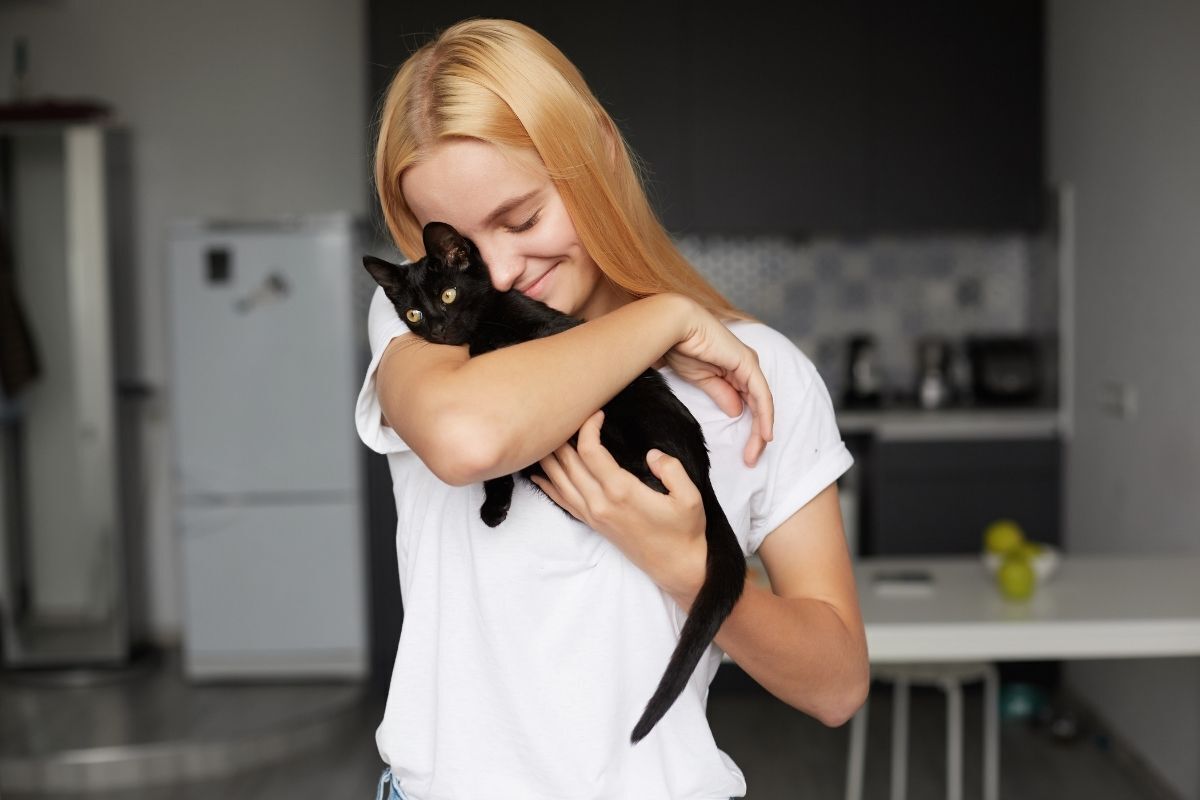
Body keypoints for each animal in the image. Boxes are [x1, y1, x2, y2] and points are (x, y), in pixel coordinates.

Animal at [360, 220, 744, 743]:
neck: (484, 326)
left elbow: (510, 349)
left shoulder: (551, 334)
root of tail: (702, 469)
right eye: (414, 313)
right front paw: (494, 507)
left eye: (448, 293)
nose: (438, 327)